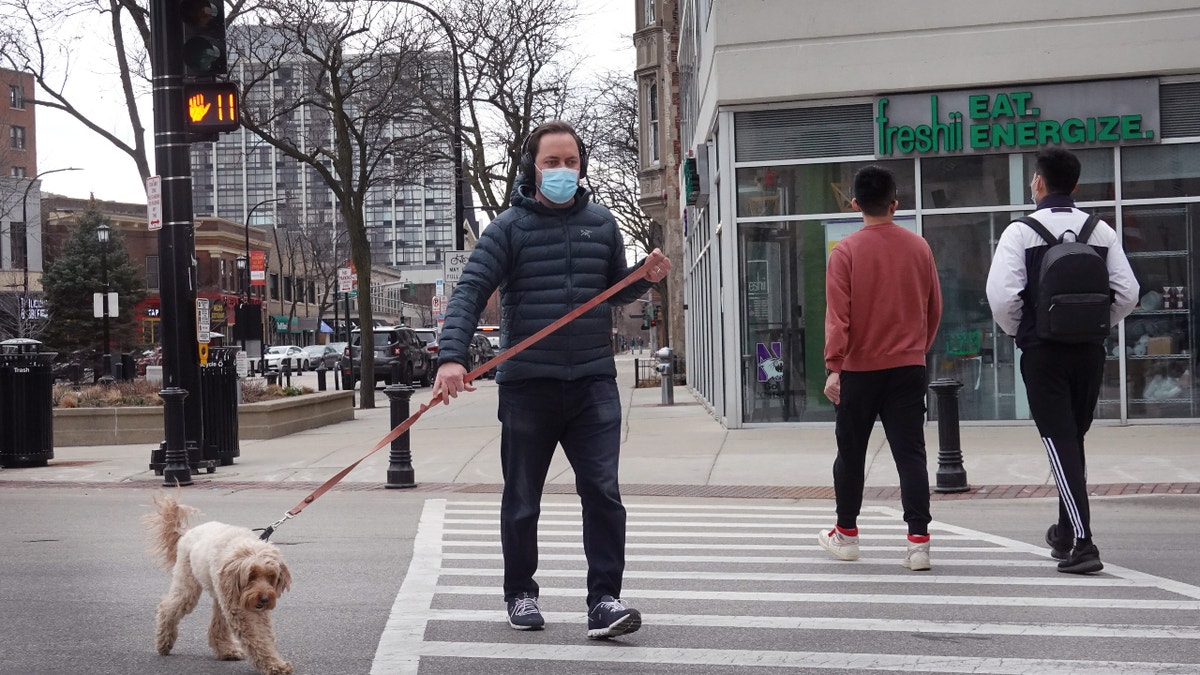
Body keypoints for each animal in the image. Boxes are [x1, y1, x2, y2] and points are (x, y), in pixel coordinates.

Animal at [145, 487, 295, 672]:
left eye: (271, 576)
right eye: (251, 575)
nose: (265, 599)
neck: (239, 548)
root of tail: (186, 534)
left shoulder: (247, 605)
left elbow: (263, 634)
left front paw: (274, 663)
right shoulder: (240, 609)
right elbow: (257, 637)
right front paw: (274, 665)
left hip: (221, 596)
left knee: (216, 625)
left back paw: (227, 650)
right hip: (189, 586)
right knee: (167, 608)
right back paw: (163, 643)